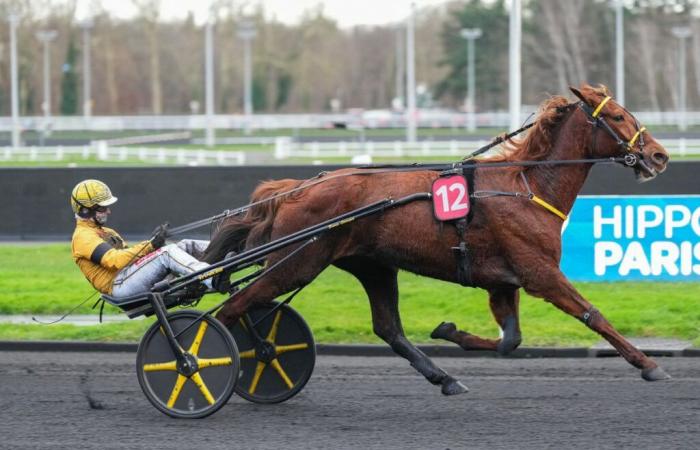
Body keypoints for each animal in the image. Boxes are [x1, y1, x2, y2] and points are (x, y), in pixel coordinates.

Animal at [204, 85, 672, 394]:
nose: (659, 155)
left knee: (388, 328)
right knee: (232, 309)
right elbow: (594, 315)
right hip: (295, 263)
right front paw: (649, 365)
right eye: (618, 117)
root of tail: (293, 188)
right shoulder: (540, 273)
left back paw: (444, 378)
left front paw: (450, 331)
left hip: (373, 266)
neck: (527, 186)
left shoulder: (503, 282)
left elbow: (510, 341)